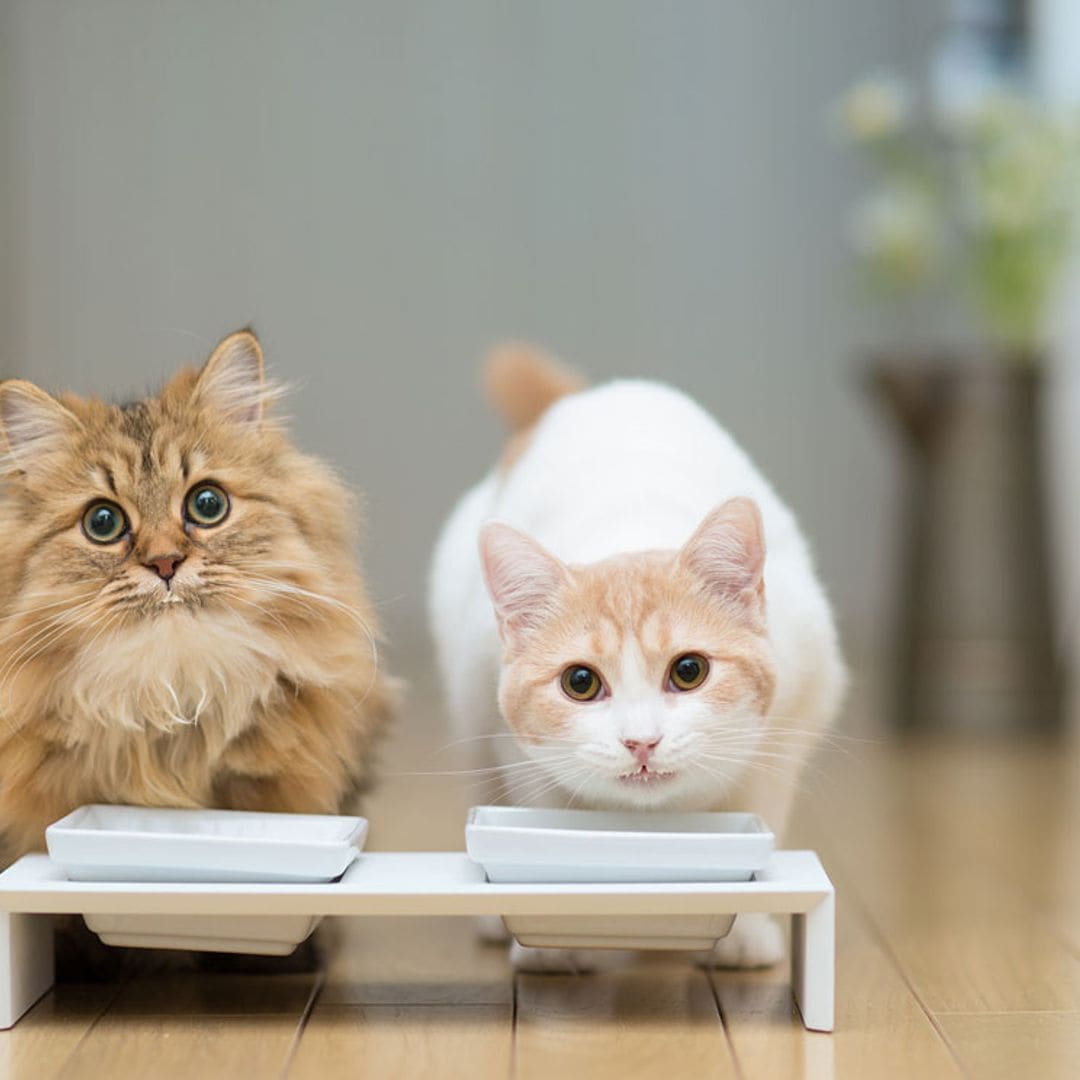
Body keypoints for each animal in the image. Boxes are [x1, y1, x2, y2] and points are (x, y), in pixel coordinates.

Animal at [427, 347, 842, 972]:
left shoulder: (792, 719)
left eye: (689, 671)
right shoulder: (510, 741)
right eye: (579, 682)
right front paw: (550, 941)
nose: (641, 742)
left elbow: (756, 822)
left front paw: (743, 929)